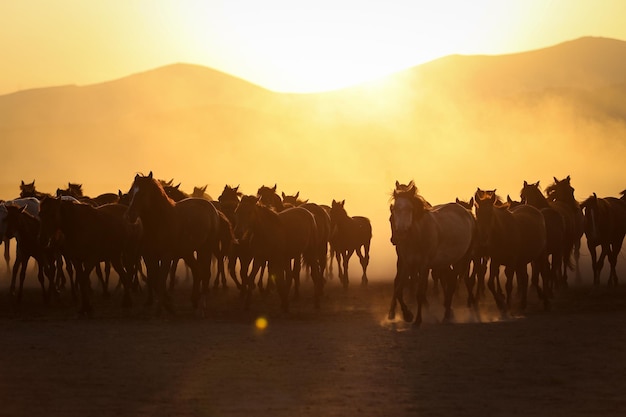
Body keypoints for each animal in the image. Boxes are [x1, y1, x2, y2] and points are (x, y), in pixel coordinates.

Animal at [123, 171, 221, 312]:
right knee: (196, 271)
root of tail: (211, 208)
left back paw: (202, 305)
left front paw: (162, 308)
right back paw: (194, 300)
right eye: (131, 193)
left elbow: (161, 279)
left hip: (205, 248)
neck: (160, 223)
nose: (130, 215)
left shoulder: (166, 256)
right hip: (188, 253)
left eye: (143, 193)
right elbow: (154, 279)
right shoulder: (149, 257)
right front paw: (168, 305)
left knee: (205, 273)